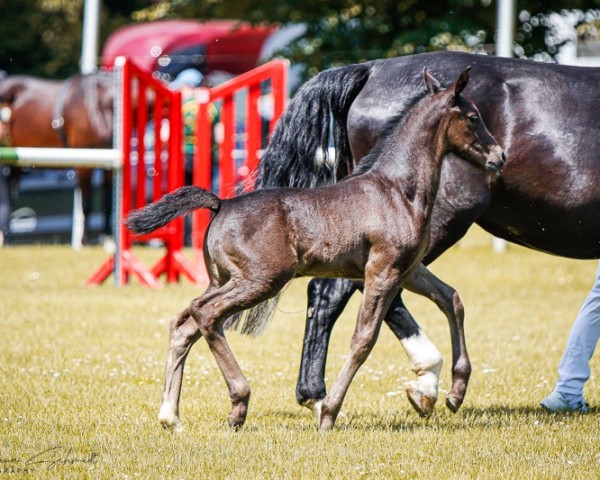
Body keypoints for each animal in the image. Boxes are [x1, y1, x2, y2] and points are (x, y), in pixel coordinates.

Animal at [0, 71, 115, 244]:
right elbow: (86, 204)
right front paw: (85, 241)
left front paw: (107, 238)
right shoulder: (85, 165)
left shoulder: (108, 164)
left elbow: (107, 200)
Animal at [127, 65, 506, 430]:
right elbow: (363, 340)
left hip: (222, 279)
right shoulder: (382, 270)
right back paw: (238, 403)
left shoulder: (410, 269)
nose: (500, 155)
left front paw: (456, 393)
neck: (397, 190)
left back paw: (171, 416)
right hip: (261, 280)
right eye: (474, 117)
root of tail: (221, 204)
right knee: (205, 314)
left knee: (185, 323)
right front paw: (329, 412)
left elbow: (451, 298)